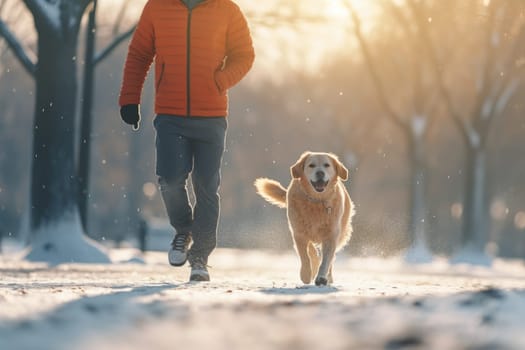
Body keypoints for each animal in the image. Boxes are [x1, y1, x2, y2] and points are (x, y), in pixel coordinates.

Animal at [253, 152, 354, 286]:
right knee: (312, 252)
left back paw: (327, 276)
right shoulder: (299, 233)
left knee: (330, 258)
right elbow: (305, 256)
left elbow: (326, 259)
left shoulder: (331, 235)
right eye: (311, 165)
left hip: (341, 232)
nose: (320, 173)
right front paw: (306, 274)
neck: (316, 201)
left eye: (327, 165)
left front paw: (321, 277)